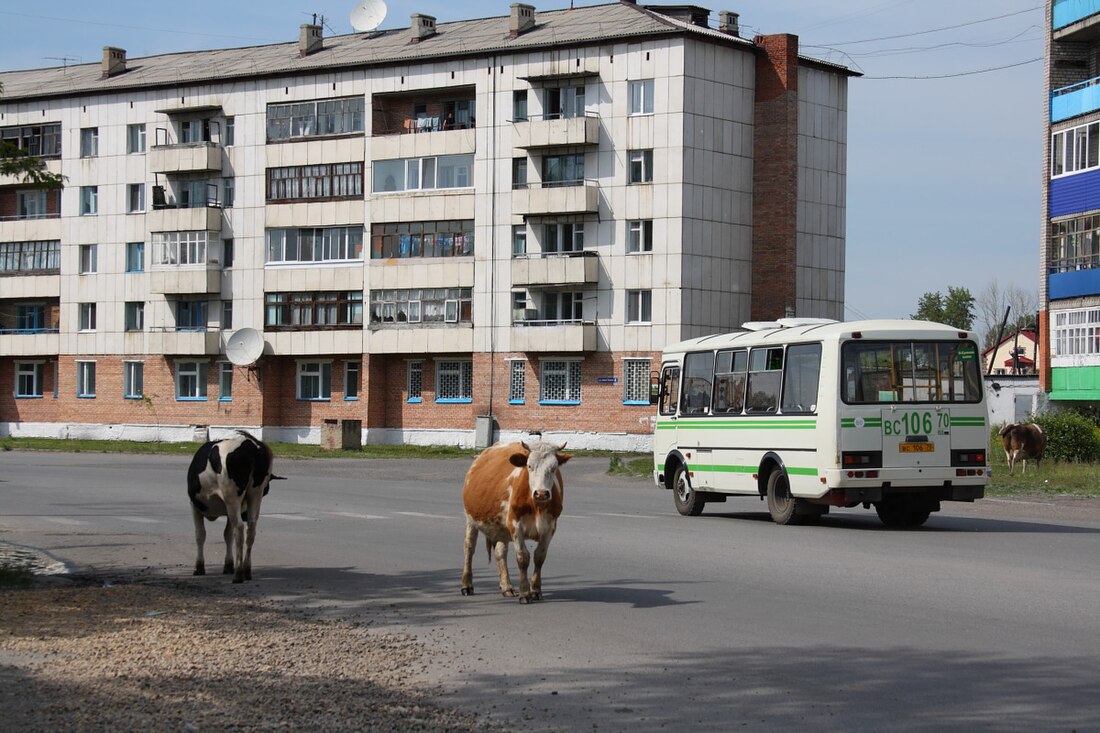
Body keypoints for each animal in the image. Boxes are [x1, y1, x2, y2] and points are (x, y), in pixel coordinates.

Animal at [187, 429, 277, 581]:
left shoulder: (194, 506)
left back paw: (238, 574)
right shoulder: (230, 511)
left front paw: (199, 567)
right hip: (254, 494)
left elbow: (200, 535)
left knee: (239, 528)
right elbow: (227, 535)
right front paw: (228, 565)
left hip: (232, 497)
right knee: (251, 529)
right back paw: (246, 570)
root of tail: (250, 446)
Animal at [459, 440, 572, 598]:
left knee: (500, 553)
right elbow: (523, 558)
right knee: (469, 548)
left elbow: (540, 556)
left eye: (554, 468)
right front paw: (524, 593)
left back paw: (506, 586)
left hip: (500, 528)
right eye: (529, 466)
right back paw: (467, 585)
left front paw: (535, 590)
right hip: (470, 519)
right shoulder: (515, 525)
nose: (541, 493)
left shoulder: (550, 527)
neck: (537, 506)